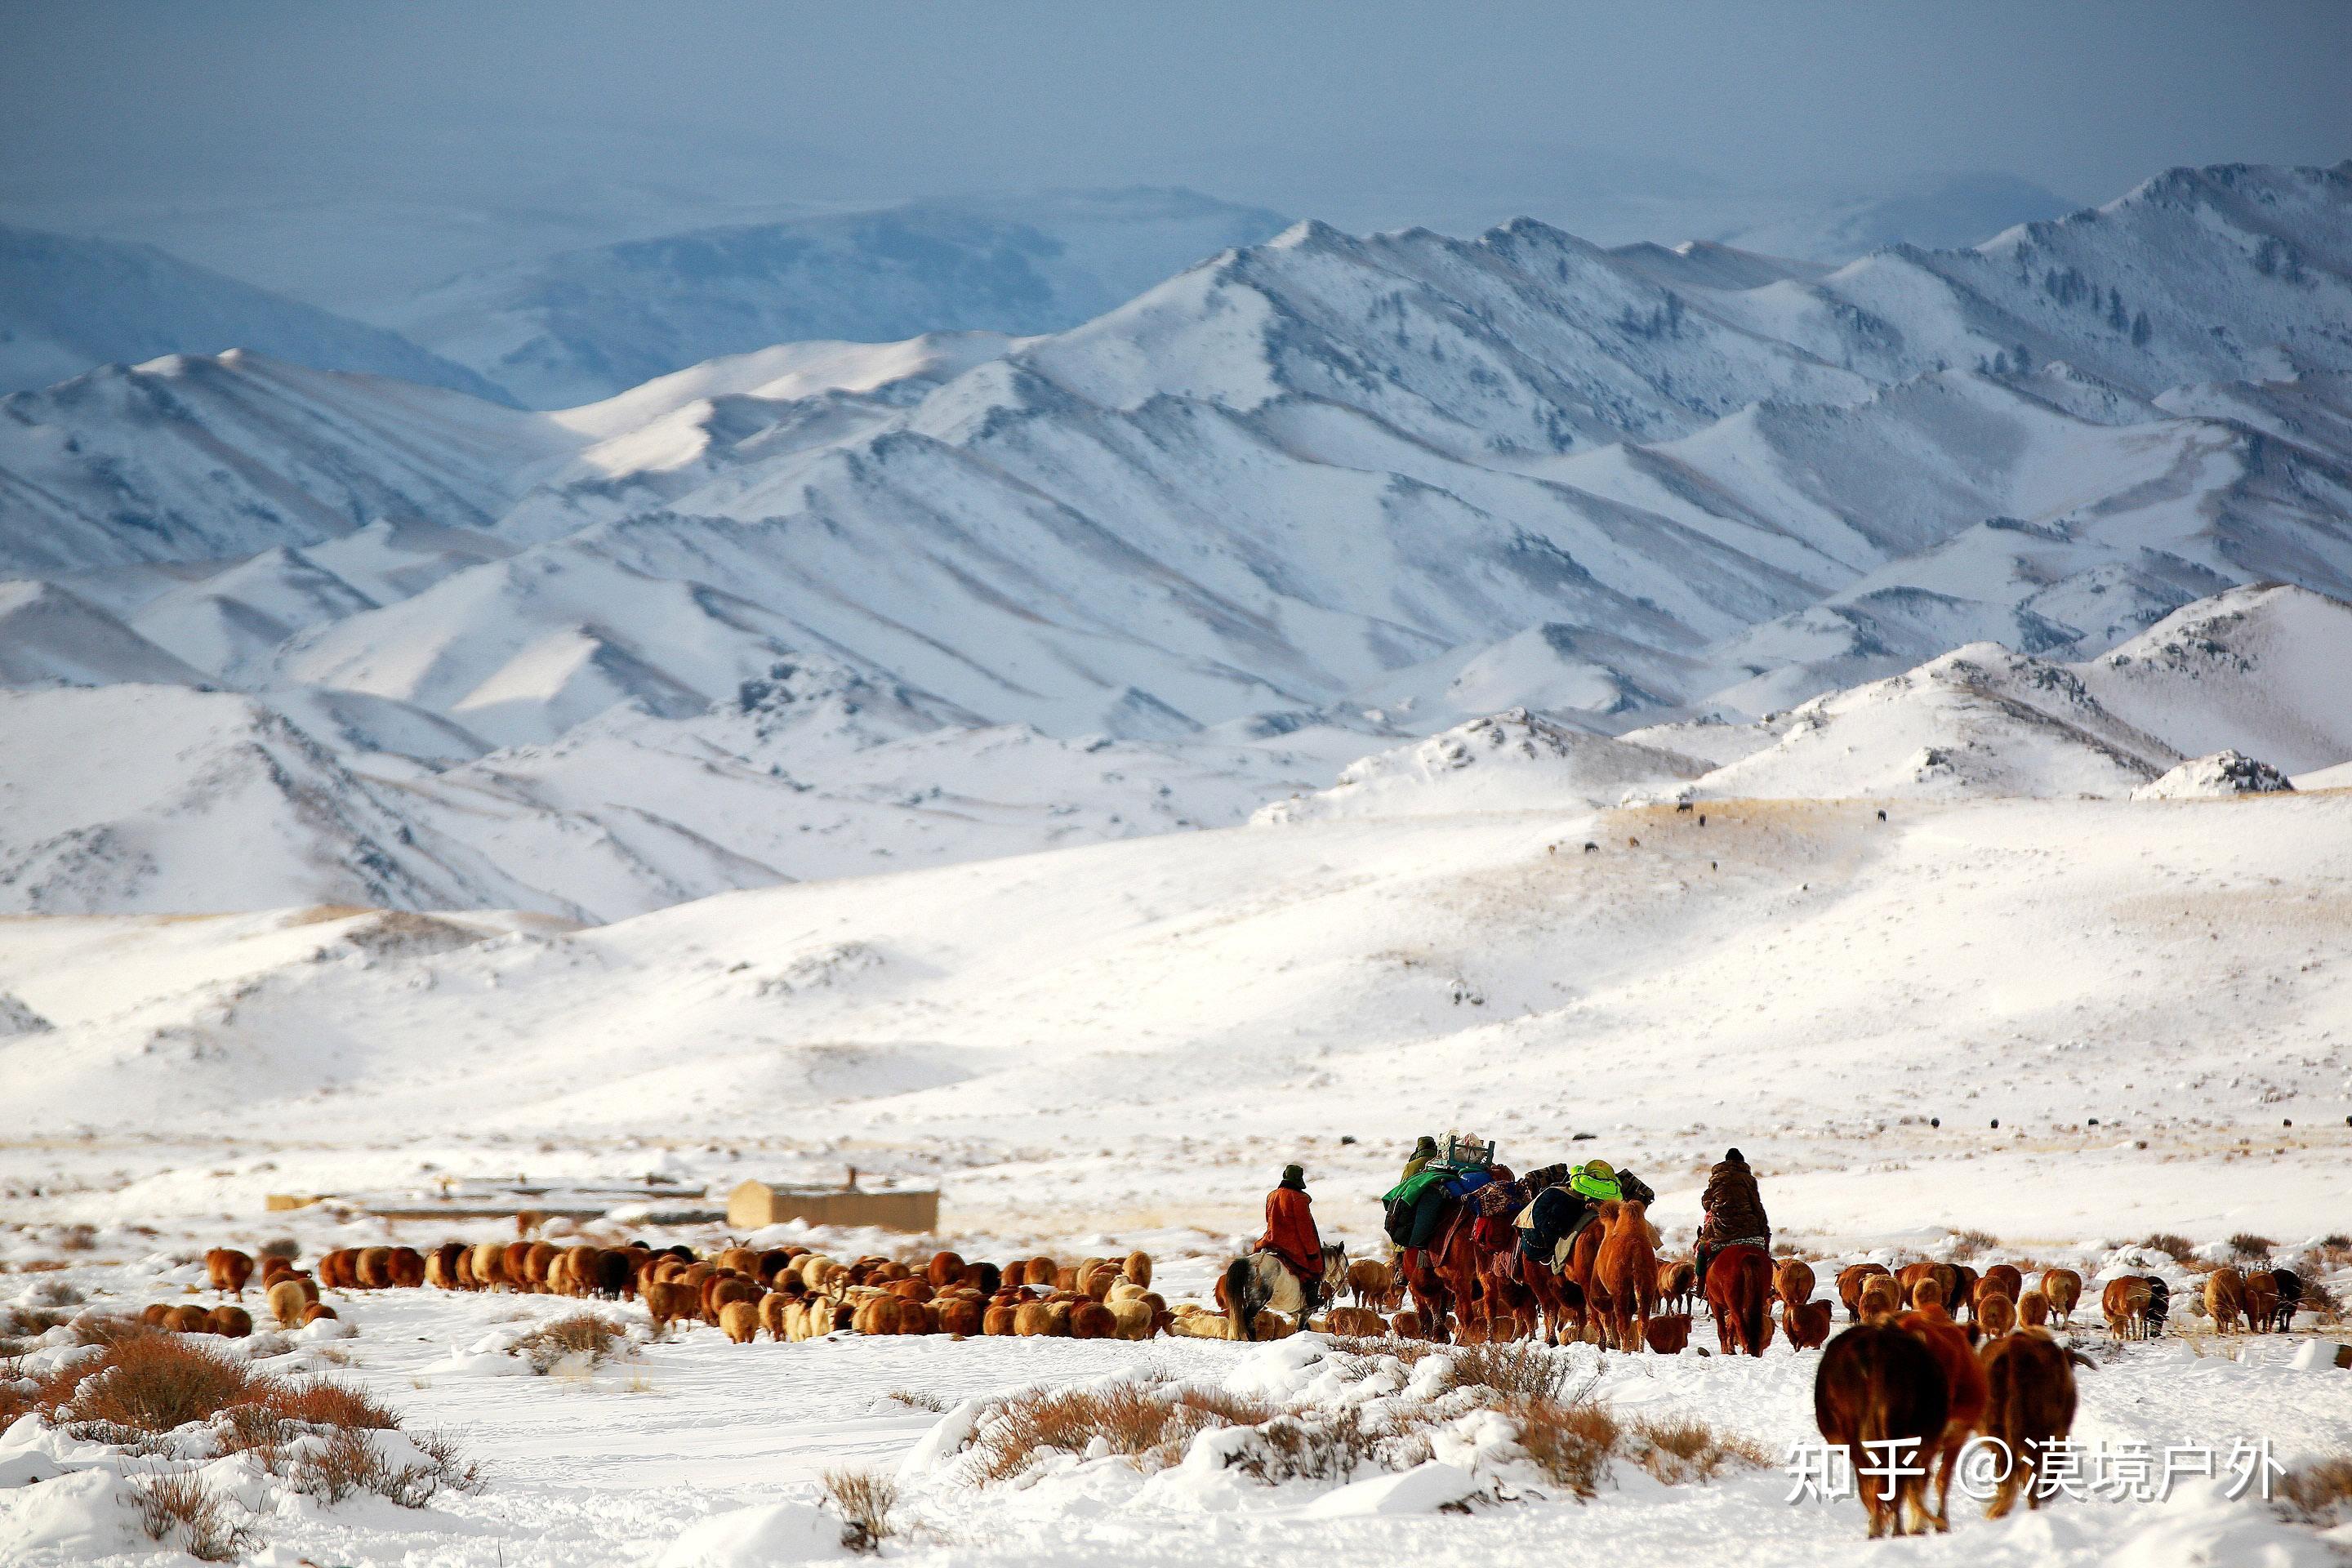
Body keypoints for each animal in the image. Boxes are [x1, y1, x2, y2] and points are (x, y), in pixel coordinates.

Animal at [1223, 1241, 1354, 1344]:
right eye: (1346, 1265)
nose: (1346, 1289)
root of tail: (1248, 1261)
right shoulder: (1306, 1311)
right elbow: (1301, 1328)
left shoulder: (1295, 1313)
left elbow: (1306, 1328)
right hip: (1257, 1302)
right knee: (1247, 1318)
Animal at [1703, 1241, 1768, 1354]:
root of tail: (1747, 1255)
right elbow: (1731, 1328)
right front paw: (1731, 1349)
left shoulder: (1714, 1303)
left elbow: (1722, 1330)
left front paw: (1725, 1351)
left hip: (1732, 1303)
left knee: (1740, 1324)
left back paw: (1747, 1350)